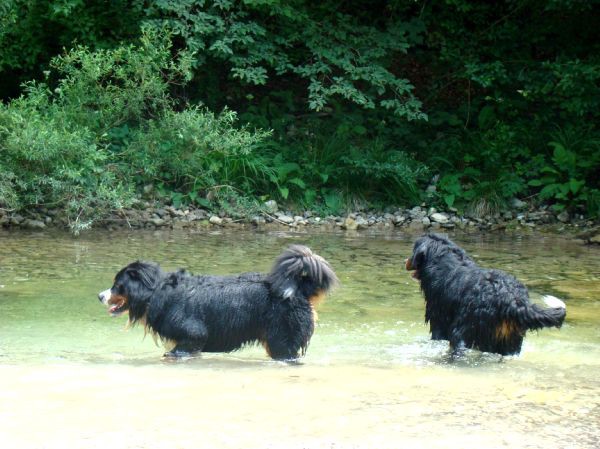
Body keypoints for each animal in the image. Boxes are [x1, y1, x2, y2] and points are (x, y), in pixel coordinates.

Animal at [96, 243, 336, 358]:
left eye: (117, 285)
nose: (100, 295)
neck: (156, 294)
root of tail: (299, 289)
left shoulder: (193, 336)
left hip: (281, 342)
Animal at [404, 233, 568, 356]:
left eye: (413, 251)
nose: (405, 260)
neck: (446, 265)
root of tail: (511, 298)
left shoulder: (438, 321)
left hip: (464, 331)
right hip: (510, 342)